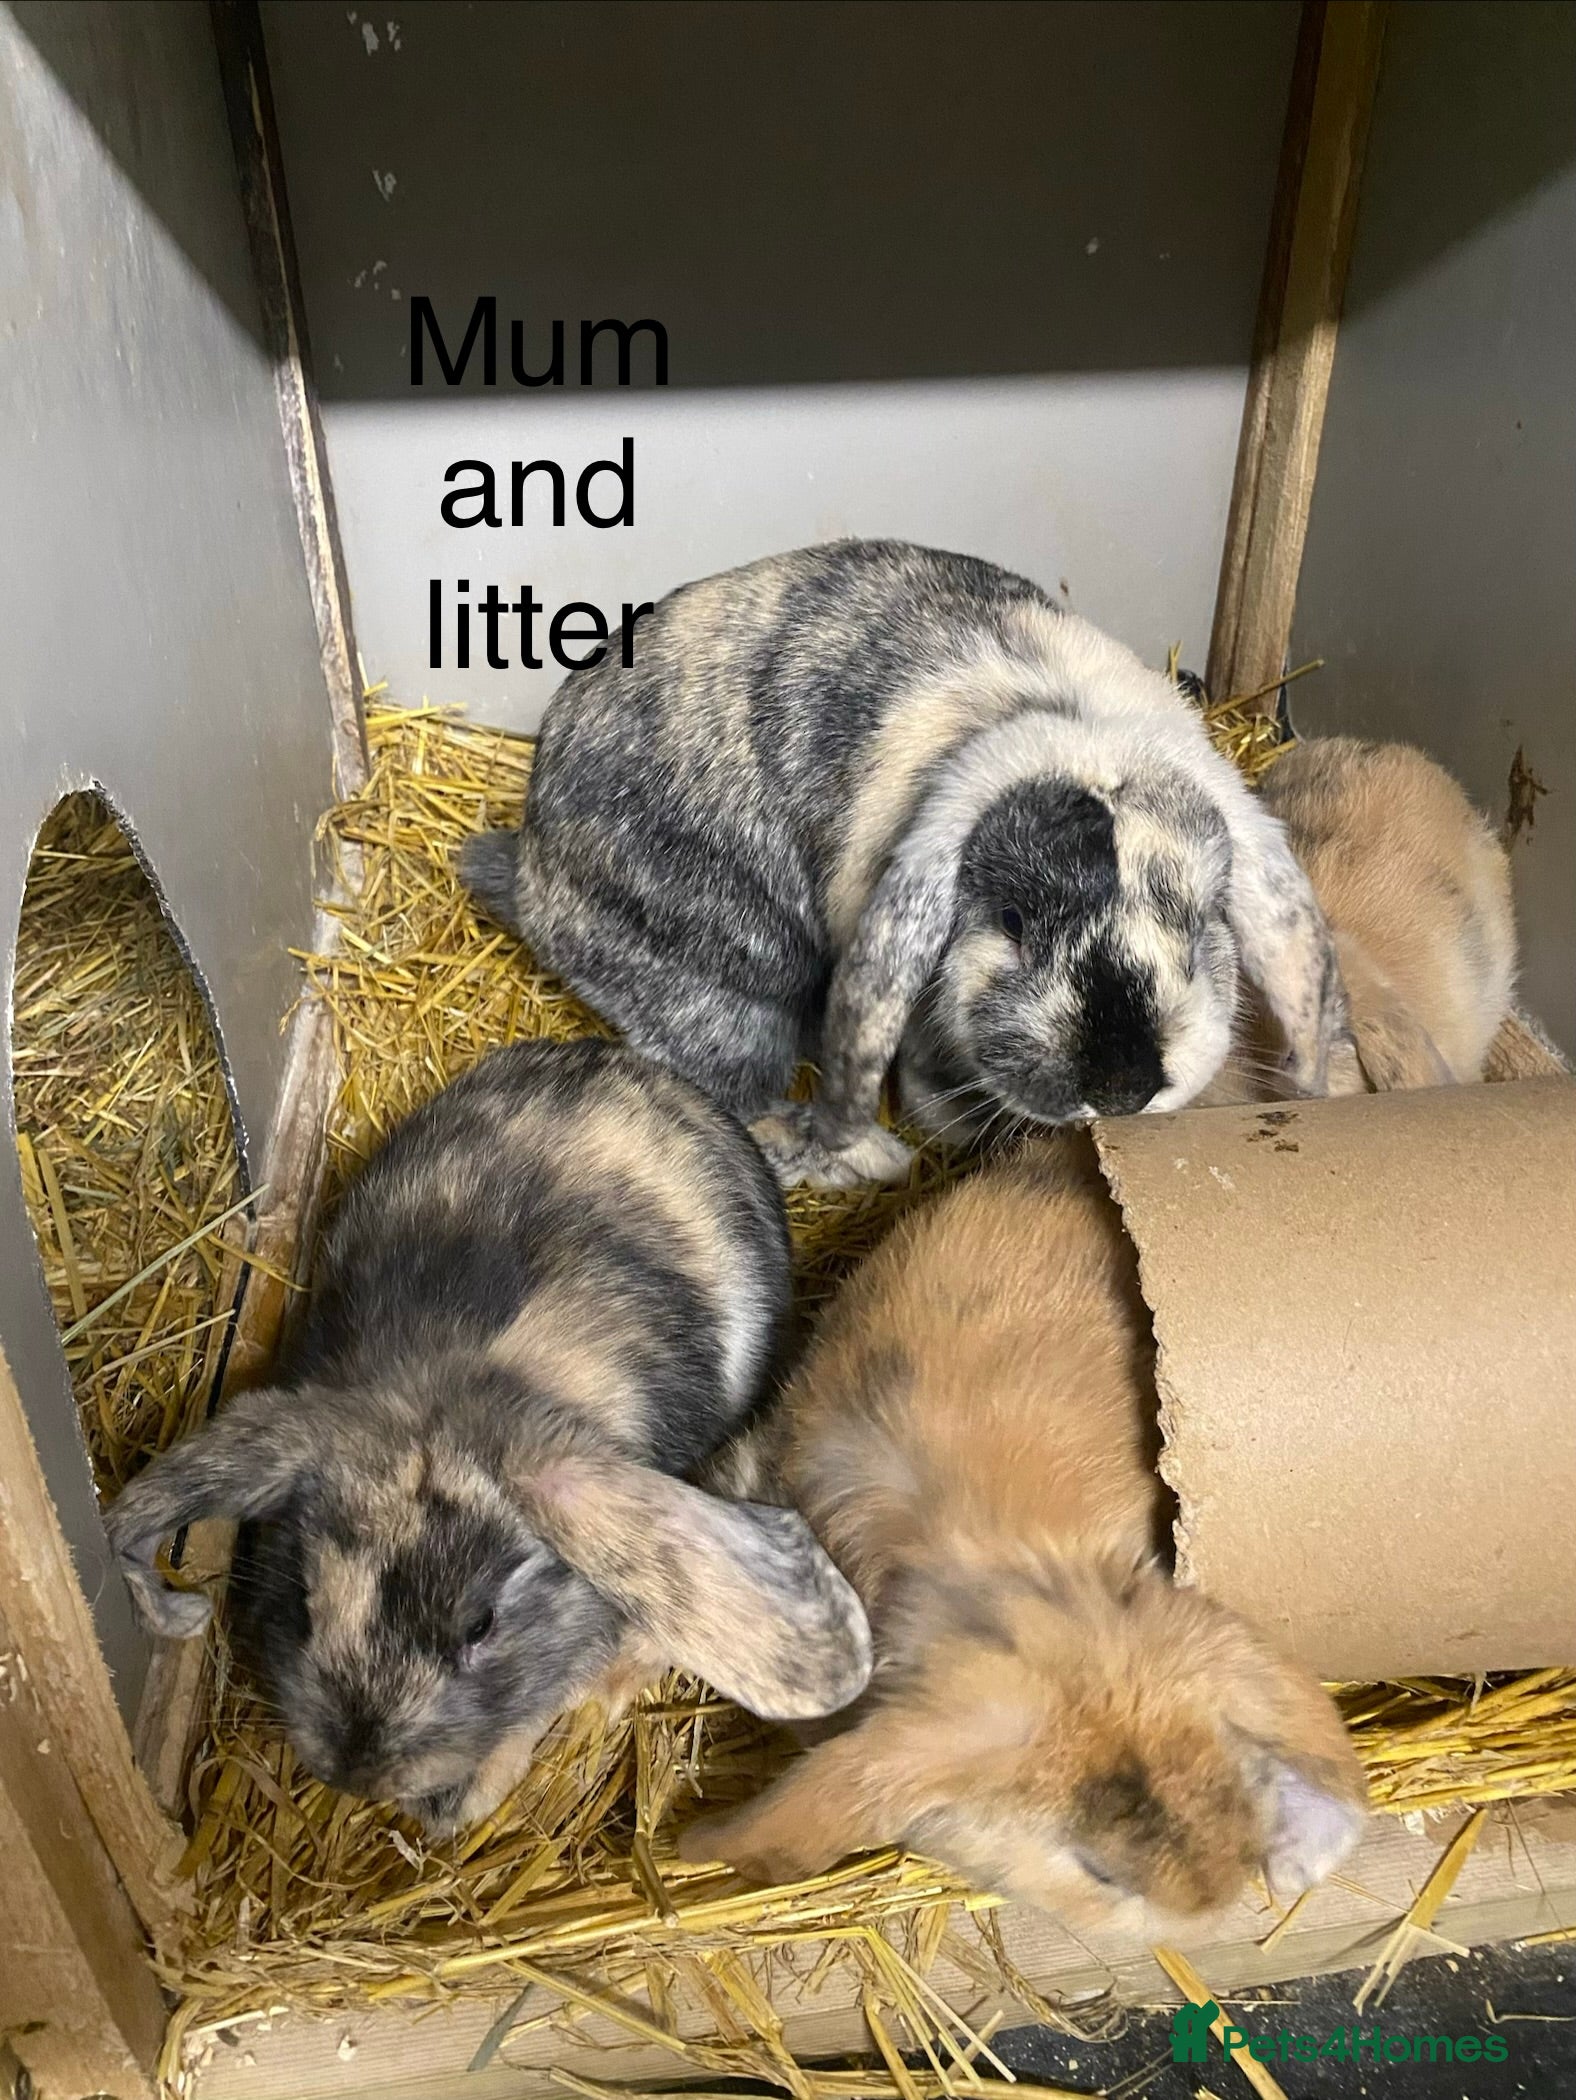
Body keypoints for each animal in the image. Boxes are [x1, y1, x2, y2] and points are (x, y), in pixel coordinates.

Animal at [462, 541, 1343, 1189]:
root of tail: (531, 869)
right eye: (1012, 921)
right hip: (724, 993)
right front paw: (935, 1130)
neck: (1064, 725)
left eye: (1199, 924)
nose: (1121, 1084)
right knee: (740, 1098)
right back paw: (876, 1161)